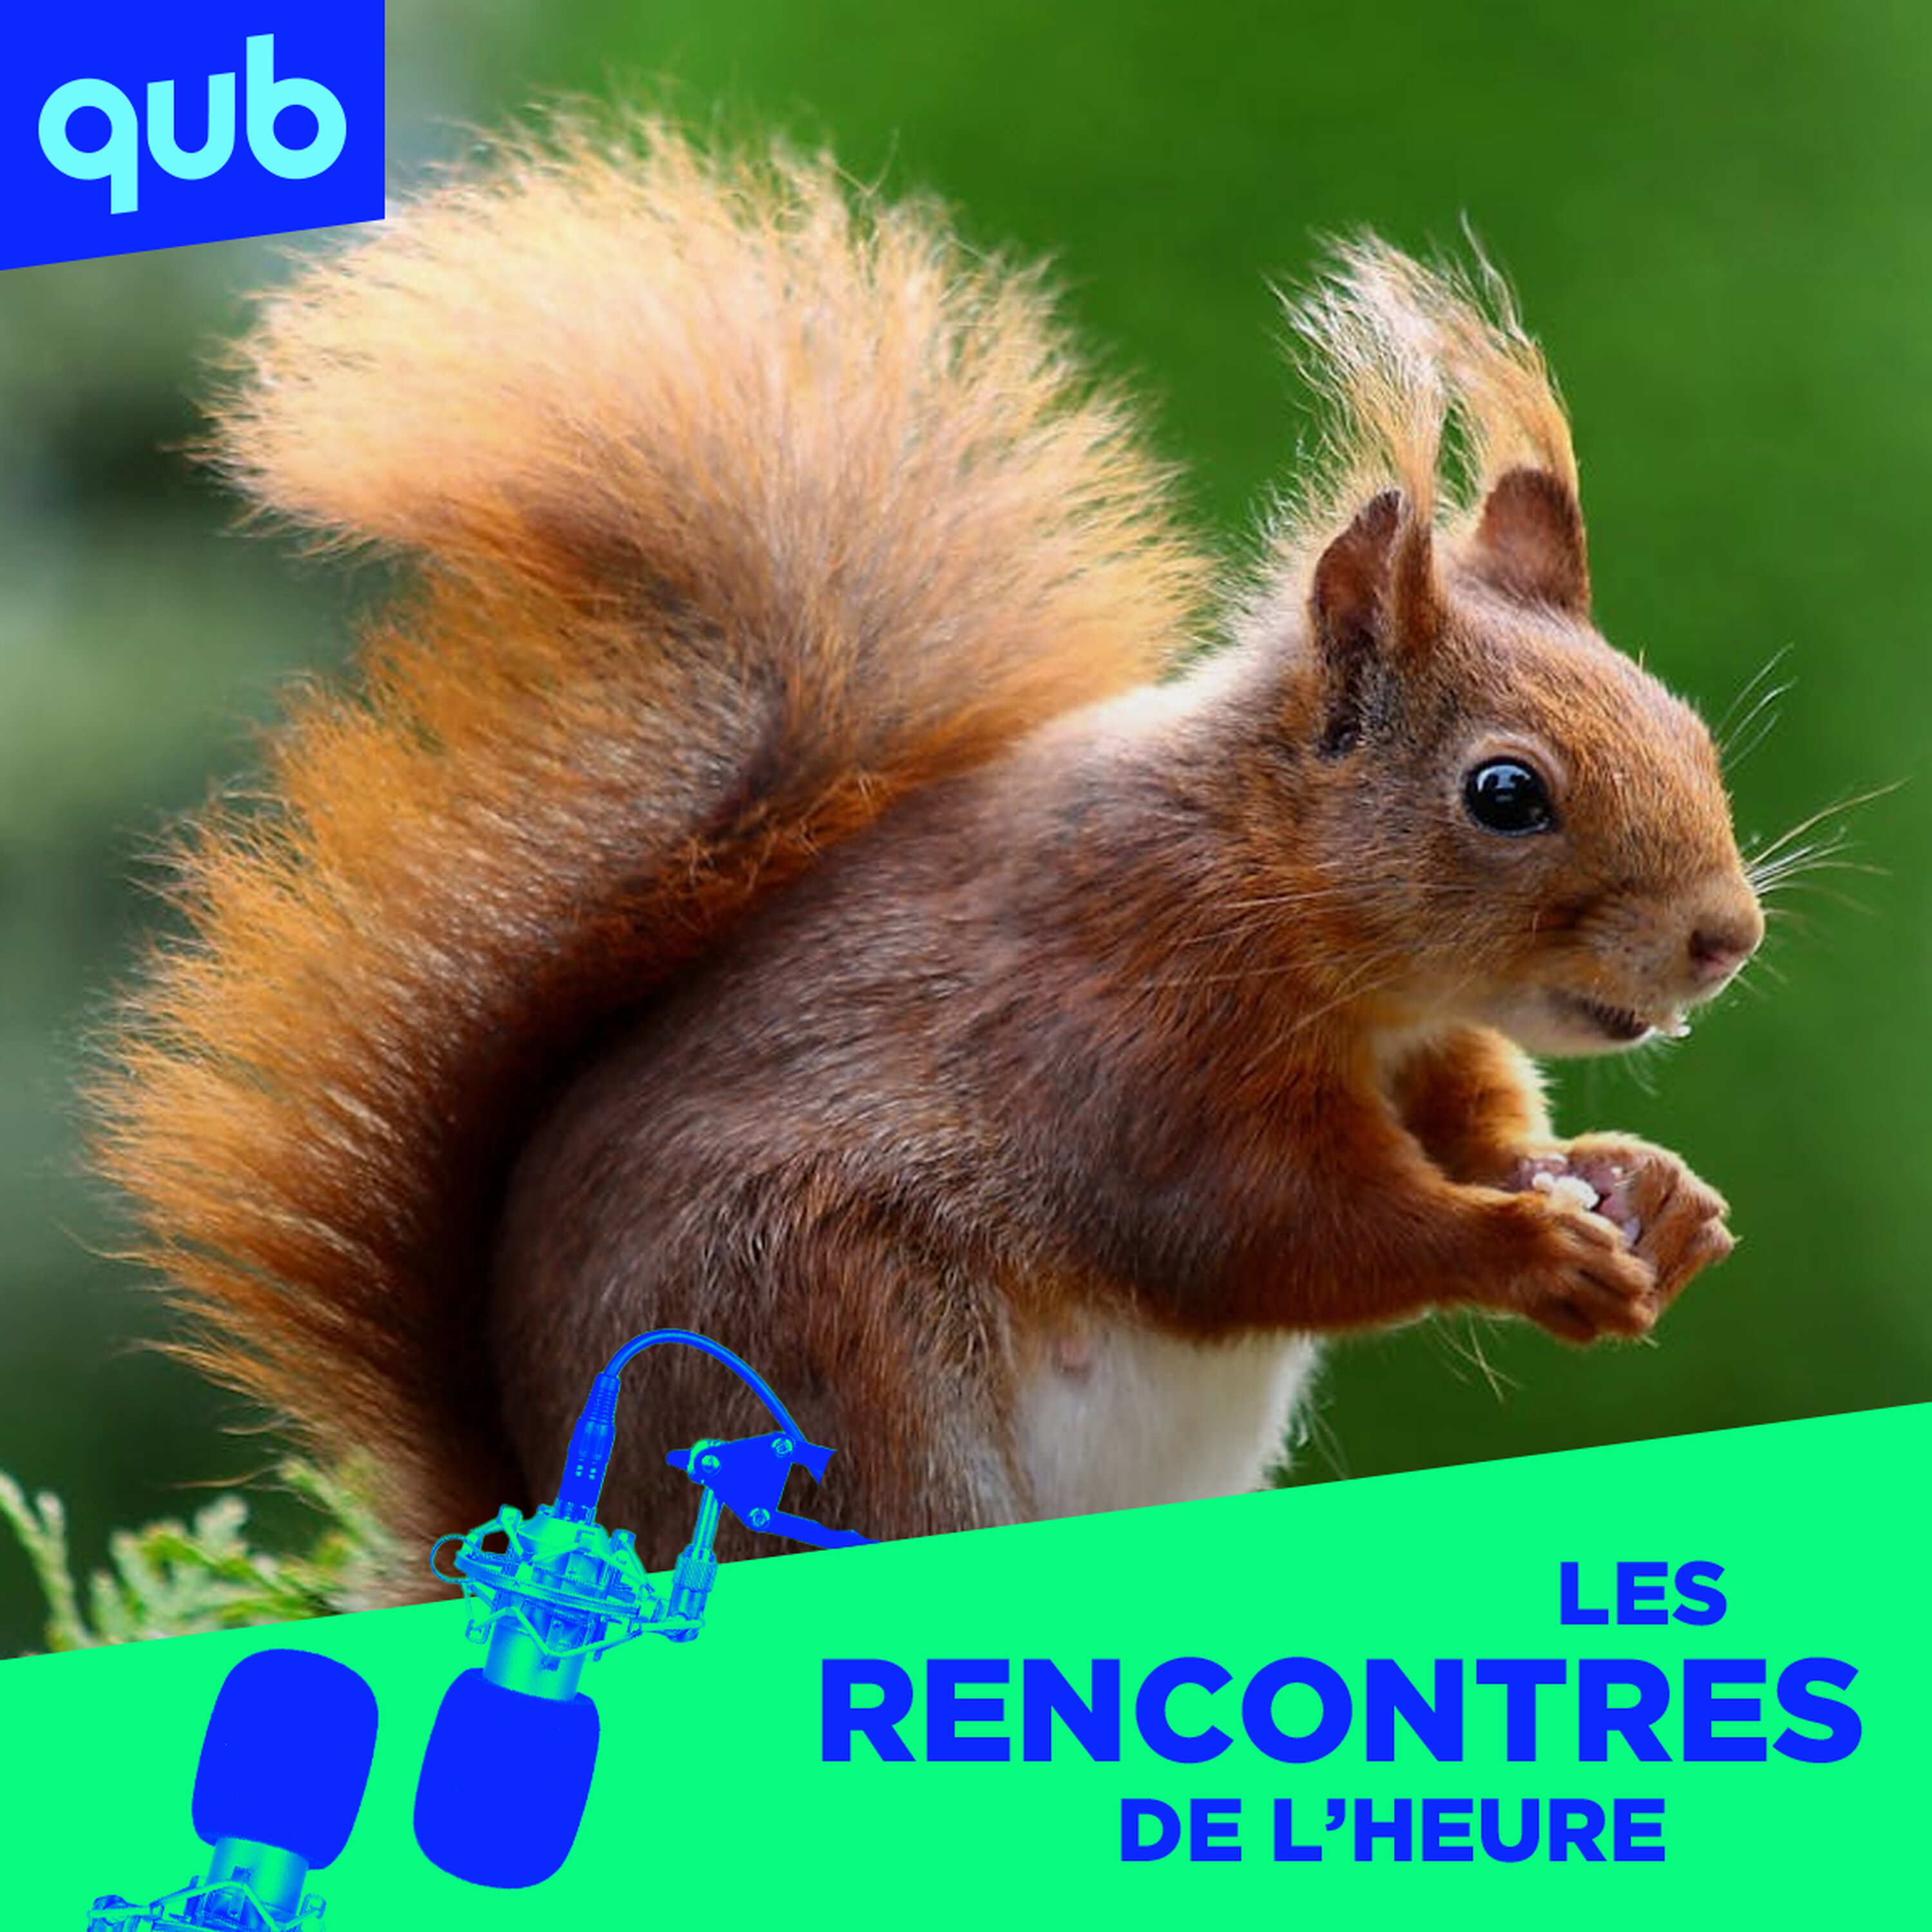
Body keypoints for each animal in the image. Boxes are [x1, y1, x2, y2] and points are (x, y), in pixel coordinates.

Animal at [95, 120, 1763, 1594]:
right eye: (1504, 792)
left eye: (1681, 721)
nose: (1724, 935)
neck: (1287, 895)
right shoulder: (1136, 1035)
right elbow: (1272, 1231)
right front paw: (1520, 1245)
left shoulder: (1421, 1044)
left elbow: (1477, 1123)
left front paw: (1643, 1191)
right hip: (840, 1375)